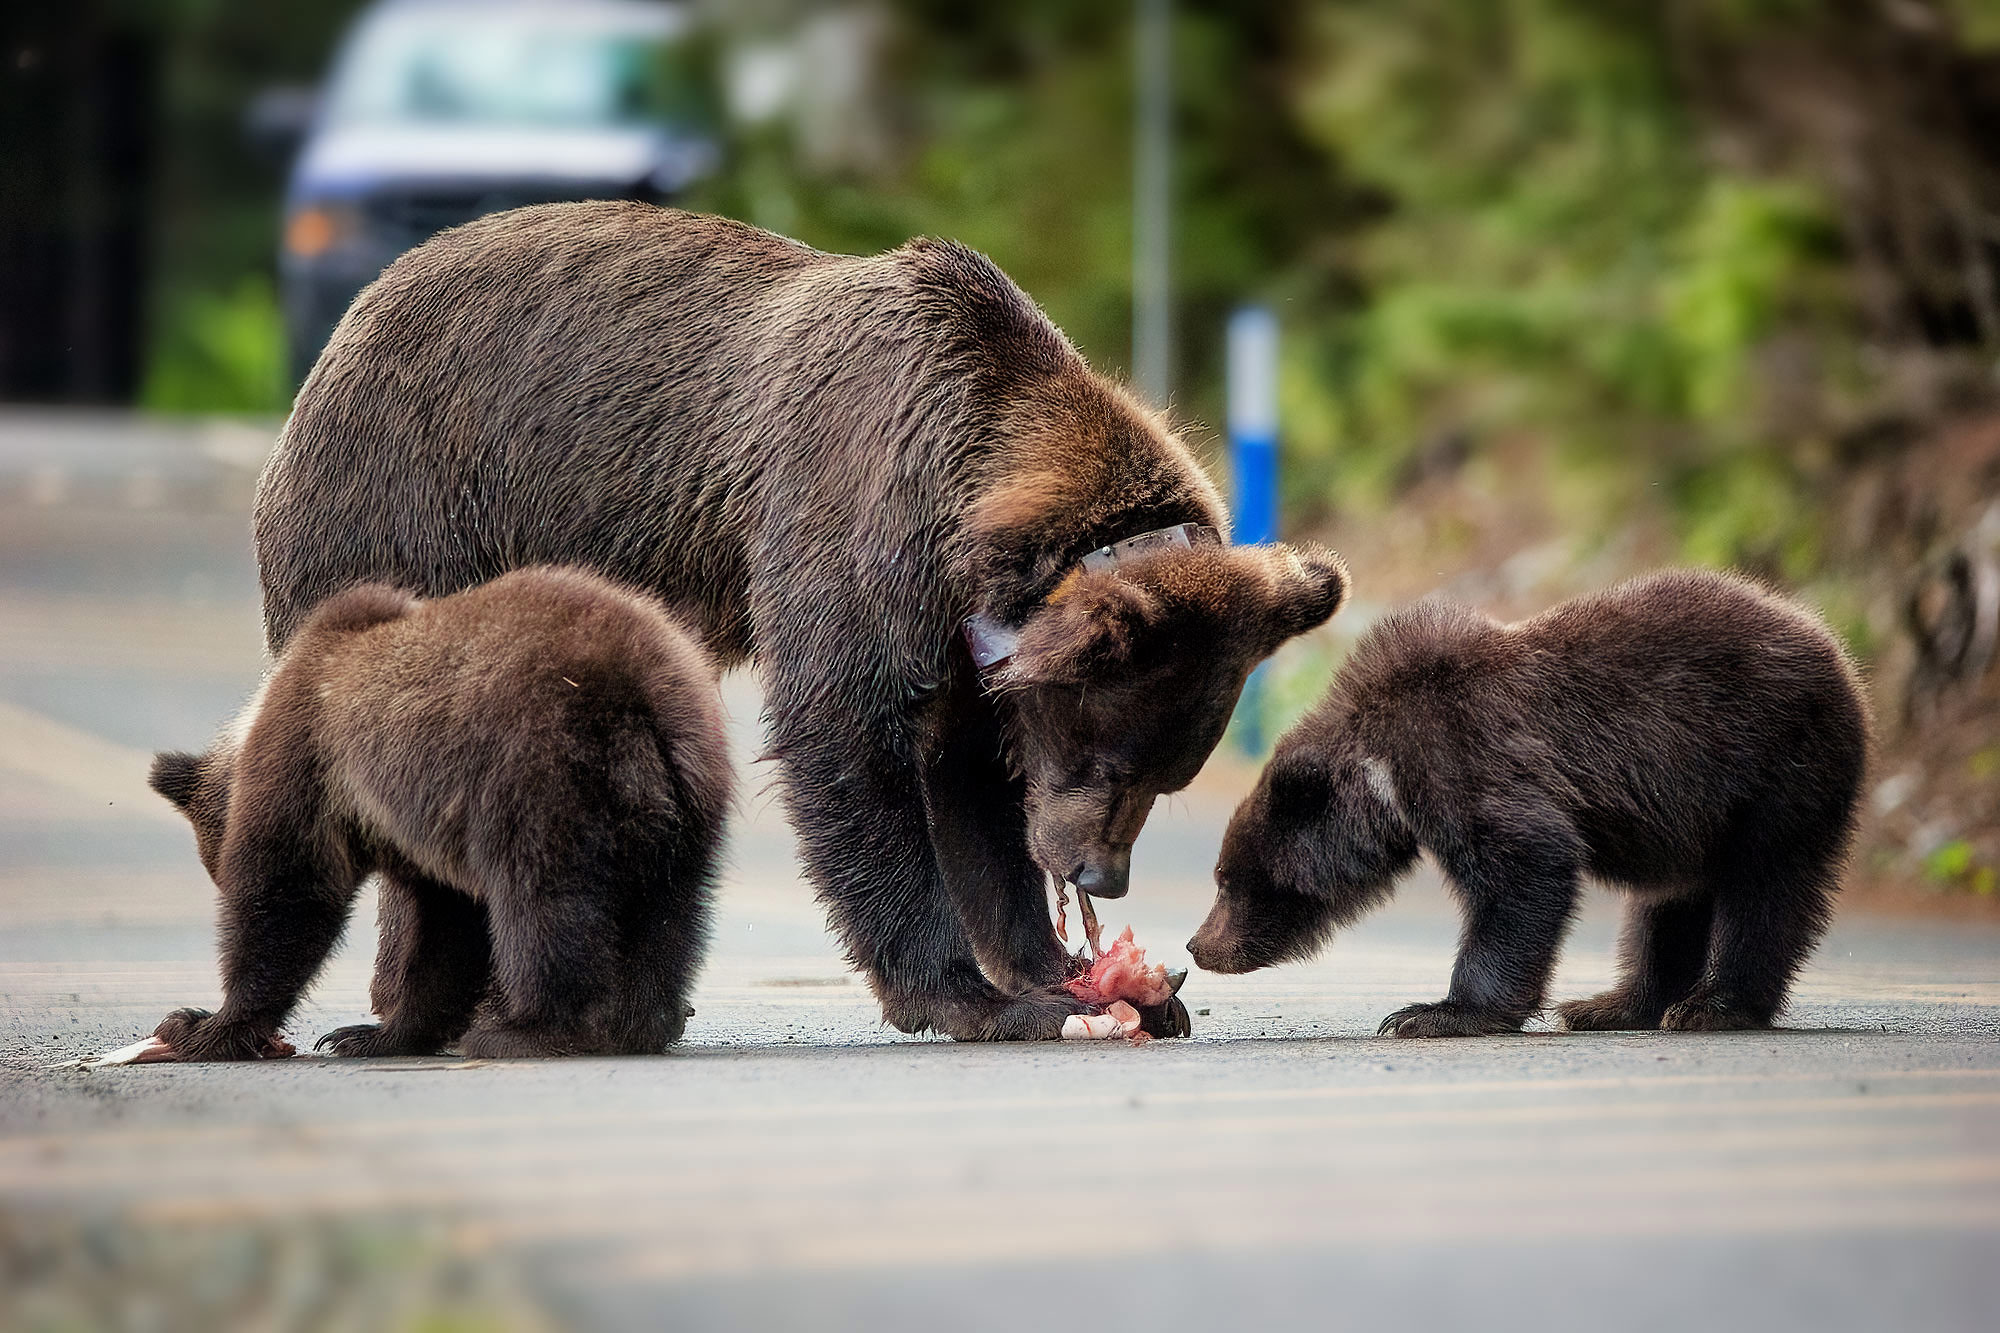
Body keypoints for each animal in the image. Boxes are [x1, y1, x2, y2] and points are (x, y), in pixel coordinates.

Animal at [143, 564, 736, 1056]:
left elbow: (288, 889)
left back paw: (522, 1031)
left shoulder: (312, 760)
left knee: (543, 904)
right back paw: (640, 1024)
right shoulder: (423, 831)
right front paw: (373, 1035)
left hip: (539, 775)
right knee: (670, 910)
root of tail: (636, 693)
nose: (216, 873)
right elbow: (447, 932)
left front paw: (203, 1025)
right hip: (688, 795)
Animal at [250, 205, 1344, 1040]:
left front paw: (1068, 980)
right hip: (410, 518)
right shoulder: (854, 527)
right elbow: (847, 747)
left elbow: (974, 791)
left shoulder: (965, 644)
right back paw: (410, 1015)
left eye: (1168, 773)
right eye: (1113, 761)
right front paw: (966, 993)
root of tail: (340, 336)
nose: (1100, 875)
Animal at [1184, 564, 1872, 1032]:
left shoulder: (1461, 757)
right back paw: (1613, 1005)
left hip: (1775, 765)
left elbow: (1524, 866)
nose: (1198, 944)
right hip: (1695, 815)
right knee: (1667, 903)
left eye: (1227, 879)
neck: (1384, 776)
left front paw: (1432, 1013)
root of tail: (1835, 648)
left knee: (1766, 885)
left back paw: (1715, 1005)